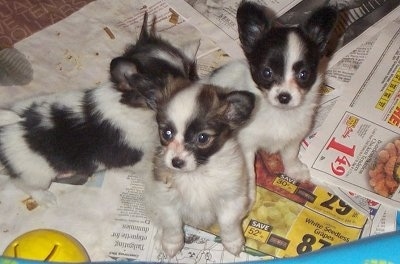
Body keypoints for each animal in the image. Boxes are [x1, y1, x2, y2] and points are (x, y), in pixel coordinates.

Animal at [145, 79, 255, 258]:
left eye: (202, 138)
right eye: (167, 133)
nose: (176, 162)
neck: (196, 174)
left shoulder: (231, 198)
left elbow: (228, 223)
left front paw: (233, 243)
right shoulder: (166, 200)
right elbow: (172, 225)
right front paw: (171, 244)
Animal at [206, 0, 338, 204]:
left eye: (303, 74)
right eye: (266, 73)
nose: (284, 96)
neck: (278, 113)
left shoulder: (294, 135)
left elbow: (290, 154)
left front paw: (294, 170)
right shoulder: (246, 143)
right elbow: (250, 171)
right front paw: (248, 194)